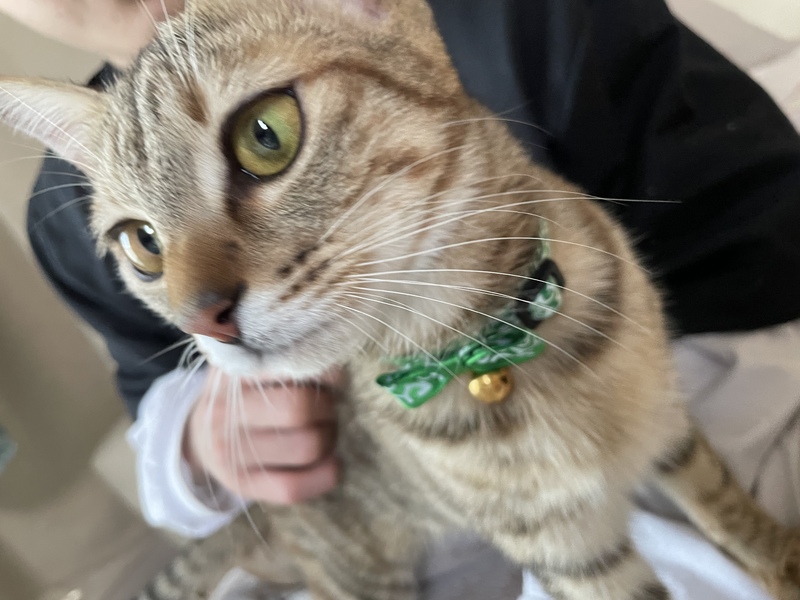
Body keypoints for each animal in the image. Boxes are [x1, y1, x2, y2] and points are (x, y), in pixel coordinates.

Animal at [1, 0, 799, 598]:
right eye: (142, 244)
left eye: (266, 134)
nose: (205, 318)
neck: (494, 349)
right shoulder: (570, 554)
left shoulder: (670, 426)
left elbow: (725, 504)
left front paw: (779, 557)